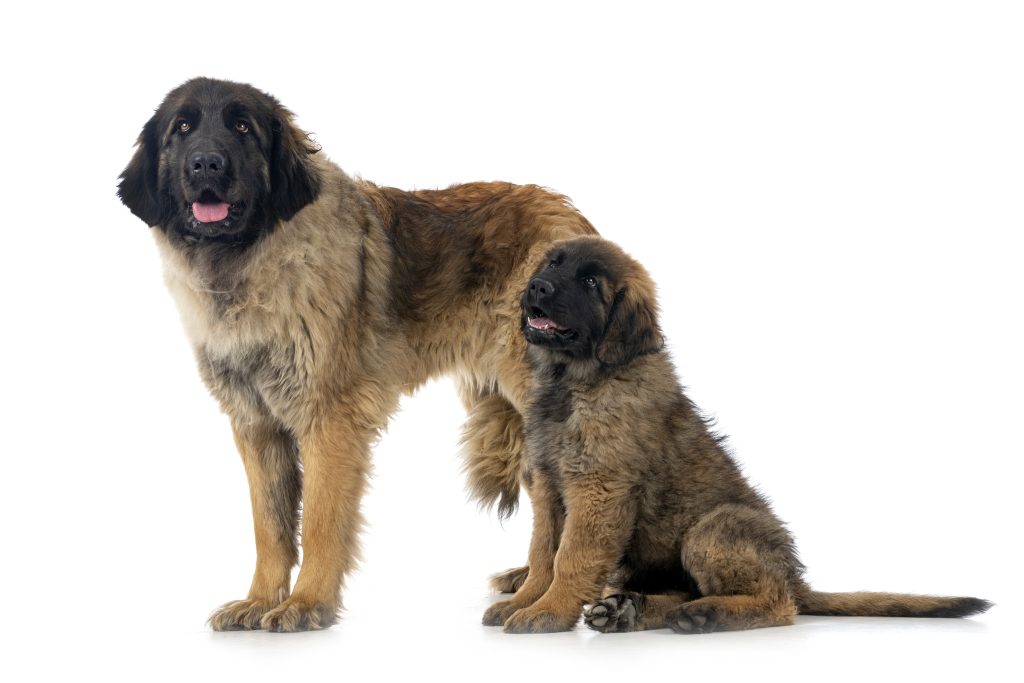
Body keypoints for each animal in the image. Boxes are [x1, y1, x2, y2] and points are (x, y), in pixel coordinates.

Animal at [118, 78, 593, 630]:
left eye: (241, 127)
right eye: (183, 128)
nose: (207, 164)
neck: (253, 262)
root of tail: (570, 215)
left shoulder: (330, 419)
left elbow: (321, 521)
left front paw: (306, 603)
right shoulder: (256, 426)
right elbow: (269, 525)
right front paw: (259, 600)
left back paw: (543, 593)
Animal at [483, 236, 995, 634]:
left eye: (591, 284)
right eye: (553, 264)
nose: (537, 287)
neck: (574, 381)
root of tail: (793, 576)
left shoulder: (598, 489)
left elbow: (570, 557)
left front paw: (547, 612)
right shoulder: (548, 488)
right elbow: (542, 553)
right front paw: (523, 601)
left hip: (715, 527)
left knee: (779, 605)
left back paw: (701, 614)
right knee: (681, 592)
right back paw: (631, 610)